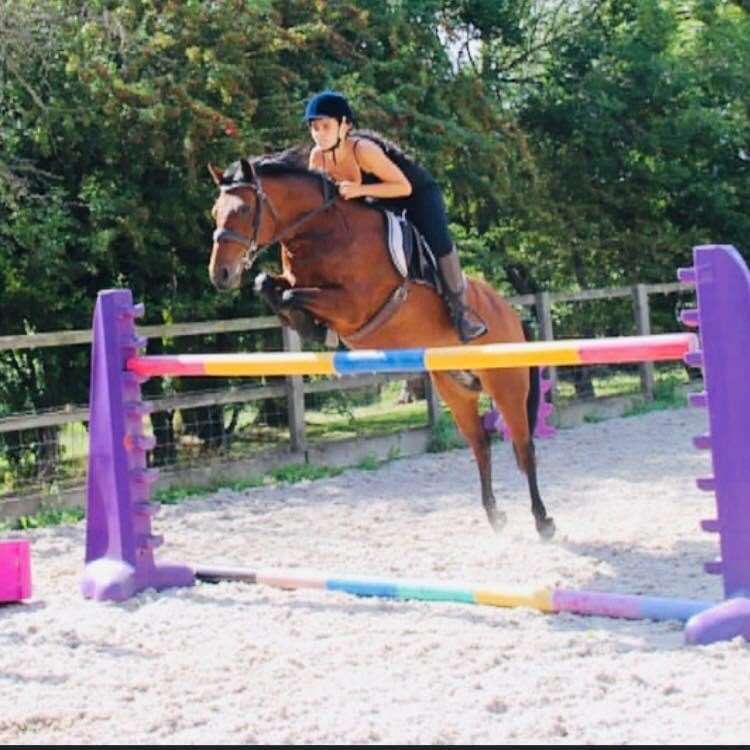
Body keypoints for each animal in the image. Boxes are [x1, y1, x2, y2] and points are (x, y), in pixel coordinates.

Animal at [209, 154, 556, 540]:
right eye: (214, 212)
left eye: (242, 210)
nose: (220, 274)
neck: (322, 231)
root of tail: (511, 313)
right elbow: (266, 284)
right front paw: (306, 325)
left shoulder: (354, 305)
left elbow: (290, 294)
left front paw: (314, 328)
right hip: (456, 388)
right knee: (480, 445)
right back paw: (495, 516)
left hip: (506, 384)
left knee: (523, 446)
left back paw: (543, 521)